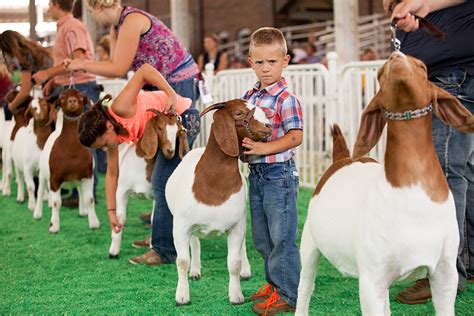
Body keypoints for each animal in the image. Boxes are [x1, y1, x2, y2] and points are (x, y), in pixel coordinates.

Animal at [34, 89, 100, 232]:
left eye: (80, 96)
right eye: (63, 97)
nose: (72, 101)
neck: (71, 151)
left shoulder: (87, 175)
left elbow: (90, 199)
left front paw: (94, 223)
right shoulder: (54, 179)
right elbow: (56, 202)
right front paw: (54, 226)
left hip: (78, 179)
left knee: (80, 191)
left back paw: (83, 211)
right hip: (43, 174)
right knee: (40, 191)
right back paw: (37, 214)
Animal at [108, 110, 189, 258]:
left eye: (177, 132)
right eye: (160, 128)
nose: (170, 151)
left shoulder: (155, 195)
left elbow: (154, 218)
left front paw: (153, 247)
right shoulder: (121, 190)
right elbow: (120, 219)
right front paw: (113, 251)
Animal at [165, 99, 272, 306]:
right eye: (239, 113)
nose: (268, 126)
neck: (213, 183)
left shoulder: (237, 226)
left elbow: (234, 263)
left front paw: (236, 296)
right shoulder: (180, 227)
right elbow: (182, 261)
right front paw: (182, 296)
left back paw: (246, 271)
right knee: (195, 242)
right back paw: (195, 271)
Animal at [296, 52, 474, 316]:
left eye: (422, 66)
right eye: (379, 74)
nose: (396, 56)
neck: (412, 189)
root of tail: (341, 158)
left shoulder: (445, 273)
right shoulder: (371, 280)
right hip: (309, 241)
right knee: (305, 287)